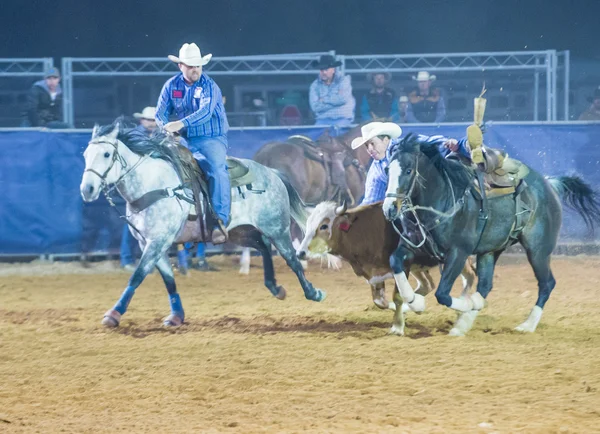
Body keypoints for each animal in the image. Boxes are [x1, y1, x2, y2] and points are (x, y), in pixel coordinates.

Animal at [81, 120, 328, 328]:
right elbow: (168, 279)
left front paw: (113, 314)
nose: (87, 189)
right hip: (239, 232)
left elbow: (138, 275)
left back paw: (313, 292)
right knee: (264, 247)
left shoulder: (158, 240)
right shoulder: (149, 242)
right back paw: (275, 287)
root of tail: (273, 174)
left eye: (106, 154)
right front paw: (176, 316)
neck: (153, 184)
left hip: (277, 228)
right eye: (85, 154)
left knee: (292, 259)